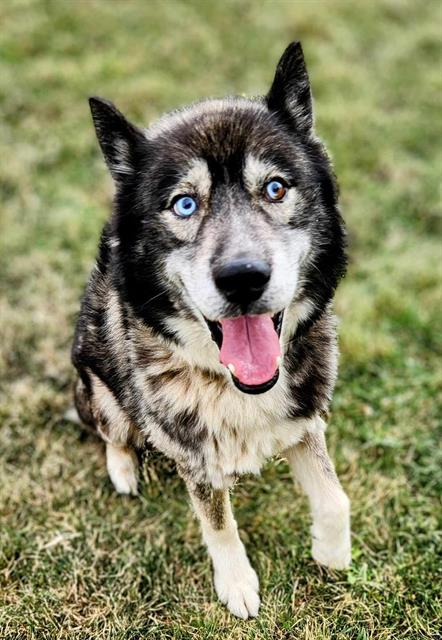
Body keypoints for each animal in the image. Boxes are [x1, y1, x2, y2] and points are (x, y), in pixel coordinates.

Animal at [71, 41, 348, 620]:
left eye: (275, 188)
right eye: (185, 203)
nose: (243, 277)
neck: (234, 385)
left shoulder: (304, 418)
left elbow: (335, 497)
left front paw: (332, 551)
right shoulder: (195, 460)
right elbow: (218, 524)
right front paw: (237, 583)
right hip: (98, 383)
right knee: (112, 430)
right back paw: (123, 469)